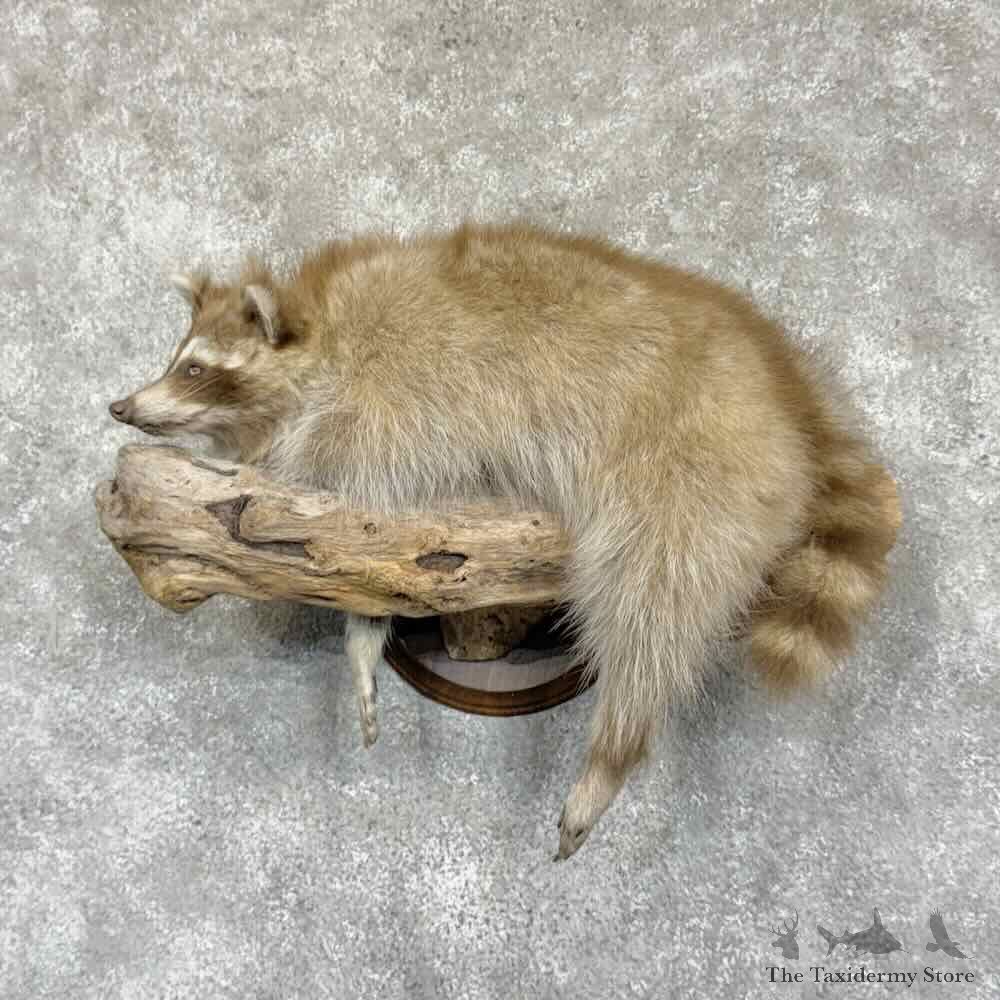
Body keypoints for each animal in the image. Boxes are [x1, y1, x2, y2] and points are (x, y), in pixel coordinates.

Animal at [109, 222, 900, 859]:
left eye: (195, 368)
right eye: (176, 358)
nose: (119, 405)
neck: (325, 328)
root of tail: (787, 390)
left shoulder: (393, 406)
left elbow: (375, 516)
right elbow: (369, 562)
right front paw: (365, 637)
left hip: (691, 464)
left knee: (655, 600)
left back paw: (618, 744)